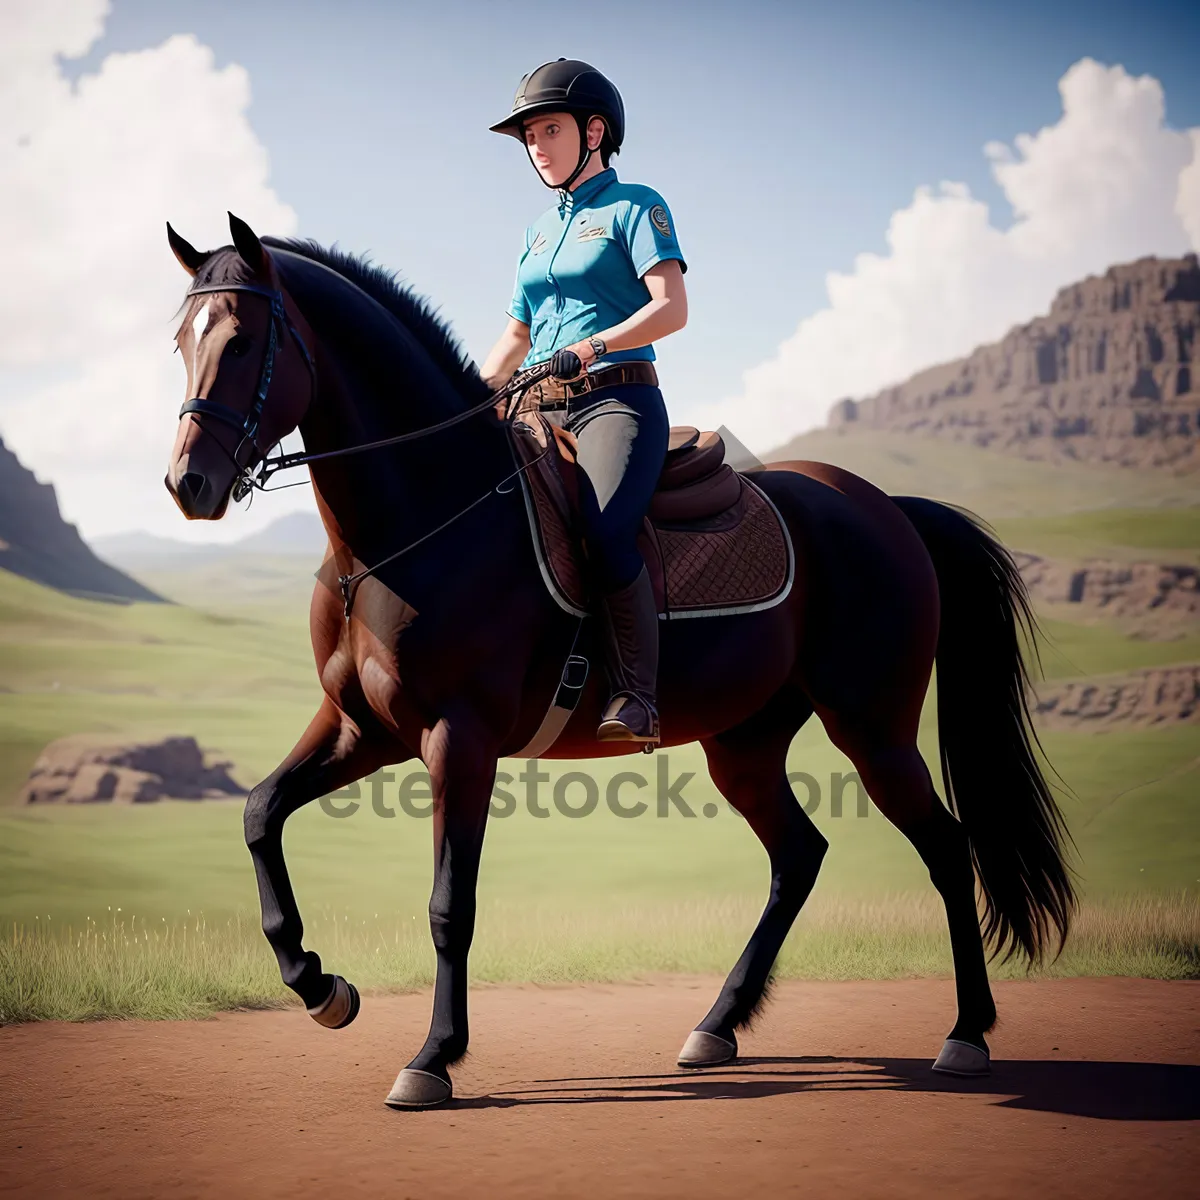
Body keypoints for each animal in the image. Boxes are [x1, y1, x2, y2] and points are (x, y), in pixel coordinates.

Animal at [164, 213, 1075, 1104]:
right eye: (181, 340)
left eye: (241, 342)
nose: (187, 485)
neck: (416, 525)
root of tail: (886, 507)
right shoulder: (364, 728)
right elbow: (259, 814)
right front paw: (322, 987)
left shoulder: (458, 738)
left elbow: (449, 904)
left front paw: (433, 1057)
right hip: (745, 743)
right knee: (799, 857)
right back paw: (717, 1026)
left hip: (873, 729)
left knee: (947, 850)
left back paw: (965, 1035)